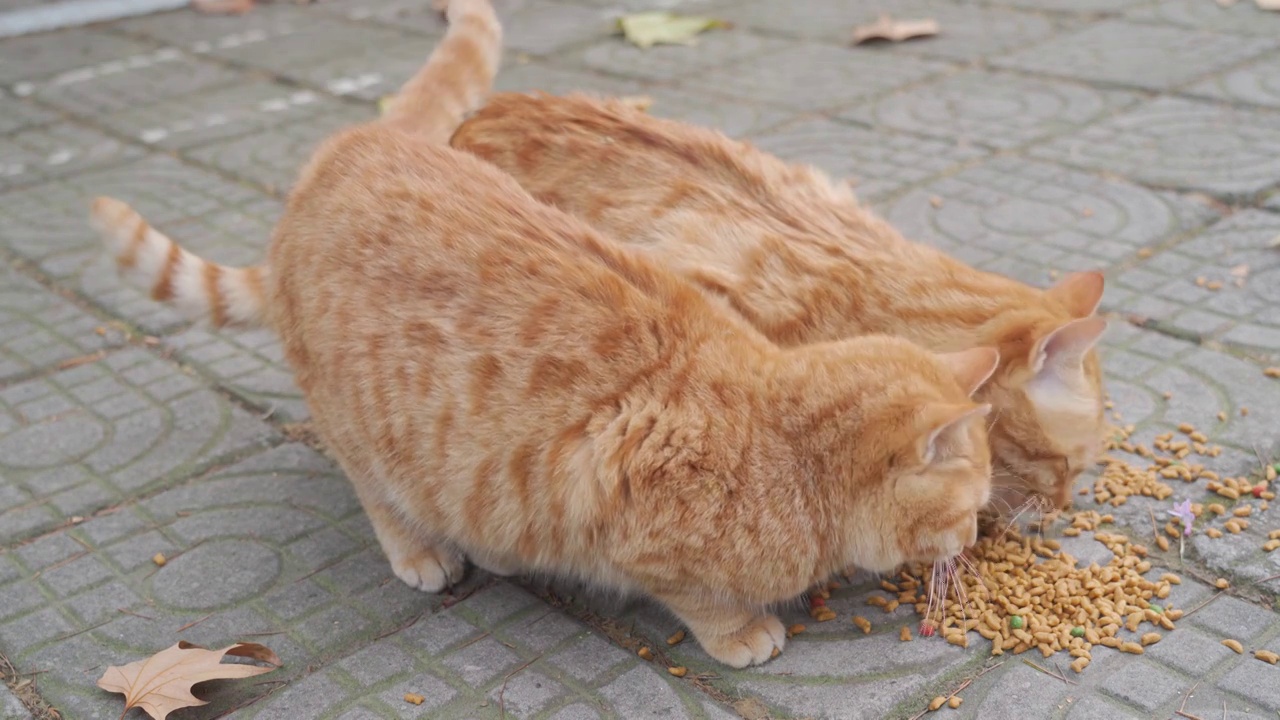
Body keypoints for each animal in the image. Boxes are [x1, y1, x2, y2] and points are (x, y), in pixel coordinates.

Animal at [94, 0, 1003, 666]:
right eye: (973, 503)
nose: (972, 541)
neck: (781, 447)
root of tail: (345, 148)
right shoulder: (643, 541)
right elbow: (700, 598)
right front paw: (744, 634)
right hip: (363, 434)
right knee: (376, 490)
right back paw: (425, 552)